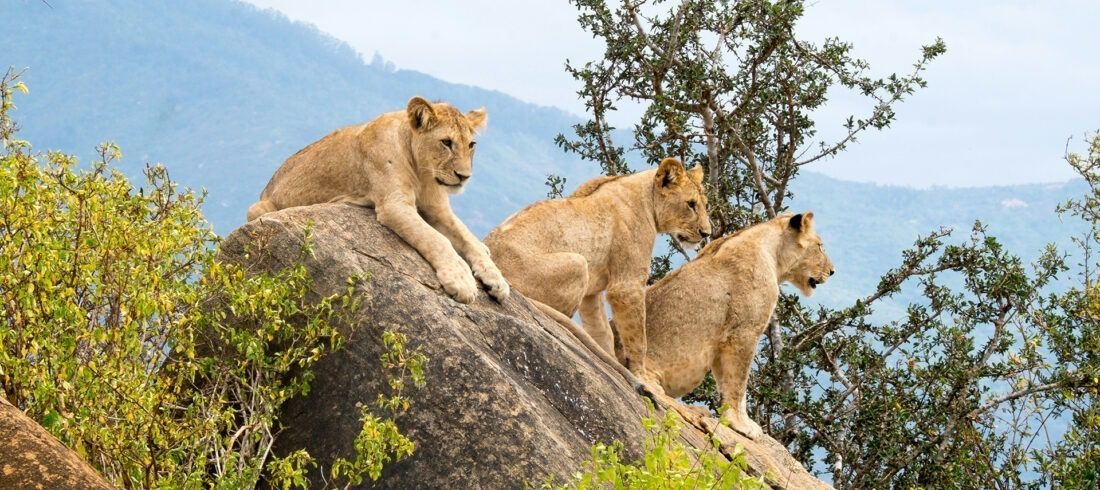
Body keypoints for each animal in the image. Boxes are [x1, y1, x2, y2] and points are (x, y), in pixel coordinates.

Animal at [246, 96, 508, 304]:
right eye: (446, 142)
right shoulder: (394, 205)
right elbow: (436, 239)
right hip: (257, 209)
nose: (464, 176)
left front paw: (497, 280)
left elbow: (466, 237)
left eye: (471, 144)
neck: (422, 172)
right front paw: (461, 280)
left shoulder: (437, 208)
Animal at [484, 158, 712, 390]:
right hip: (578, 263)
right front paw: (641, 377)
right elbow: (638, 338)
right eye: (691, 204)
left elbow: (602, 331)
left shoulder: (592, 294)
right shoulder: (626, 286)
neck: (647, 197)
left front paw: (613, 363)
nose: (706, 233)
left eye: (704, 204)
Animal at [643, 211, 834, 439]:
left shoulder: (722, 341)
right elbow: (738, 383)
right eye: (820, 246)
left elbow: (726, 382)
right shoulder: (743, 332)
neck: (774, 254)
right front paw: (742, 424)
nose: (832, 271)